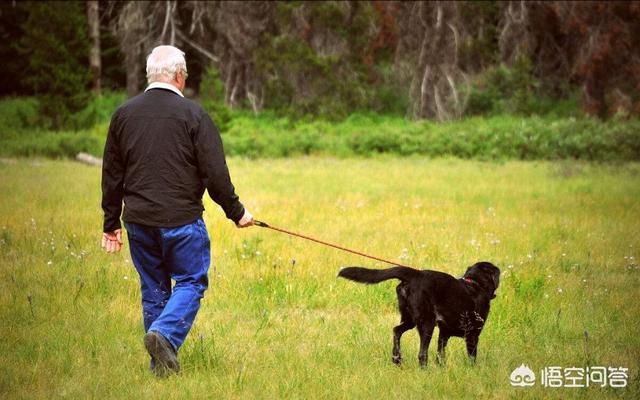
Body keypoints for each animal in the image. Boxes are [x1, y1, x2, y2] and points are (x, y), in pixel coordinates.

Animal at [340, 260, 500, 368]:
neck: (475, 284)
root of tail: (416, 274)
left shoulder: (444, 334)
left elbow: (440, 354)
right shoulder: (473, 334)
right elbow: (472, 357)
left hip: (409, 319)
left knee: (396, 331)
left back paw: (397, 358)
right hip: (427, 323)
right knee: (422, 353)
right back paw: (424, 370)